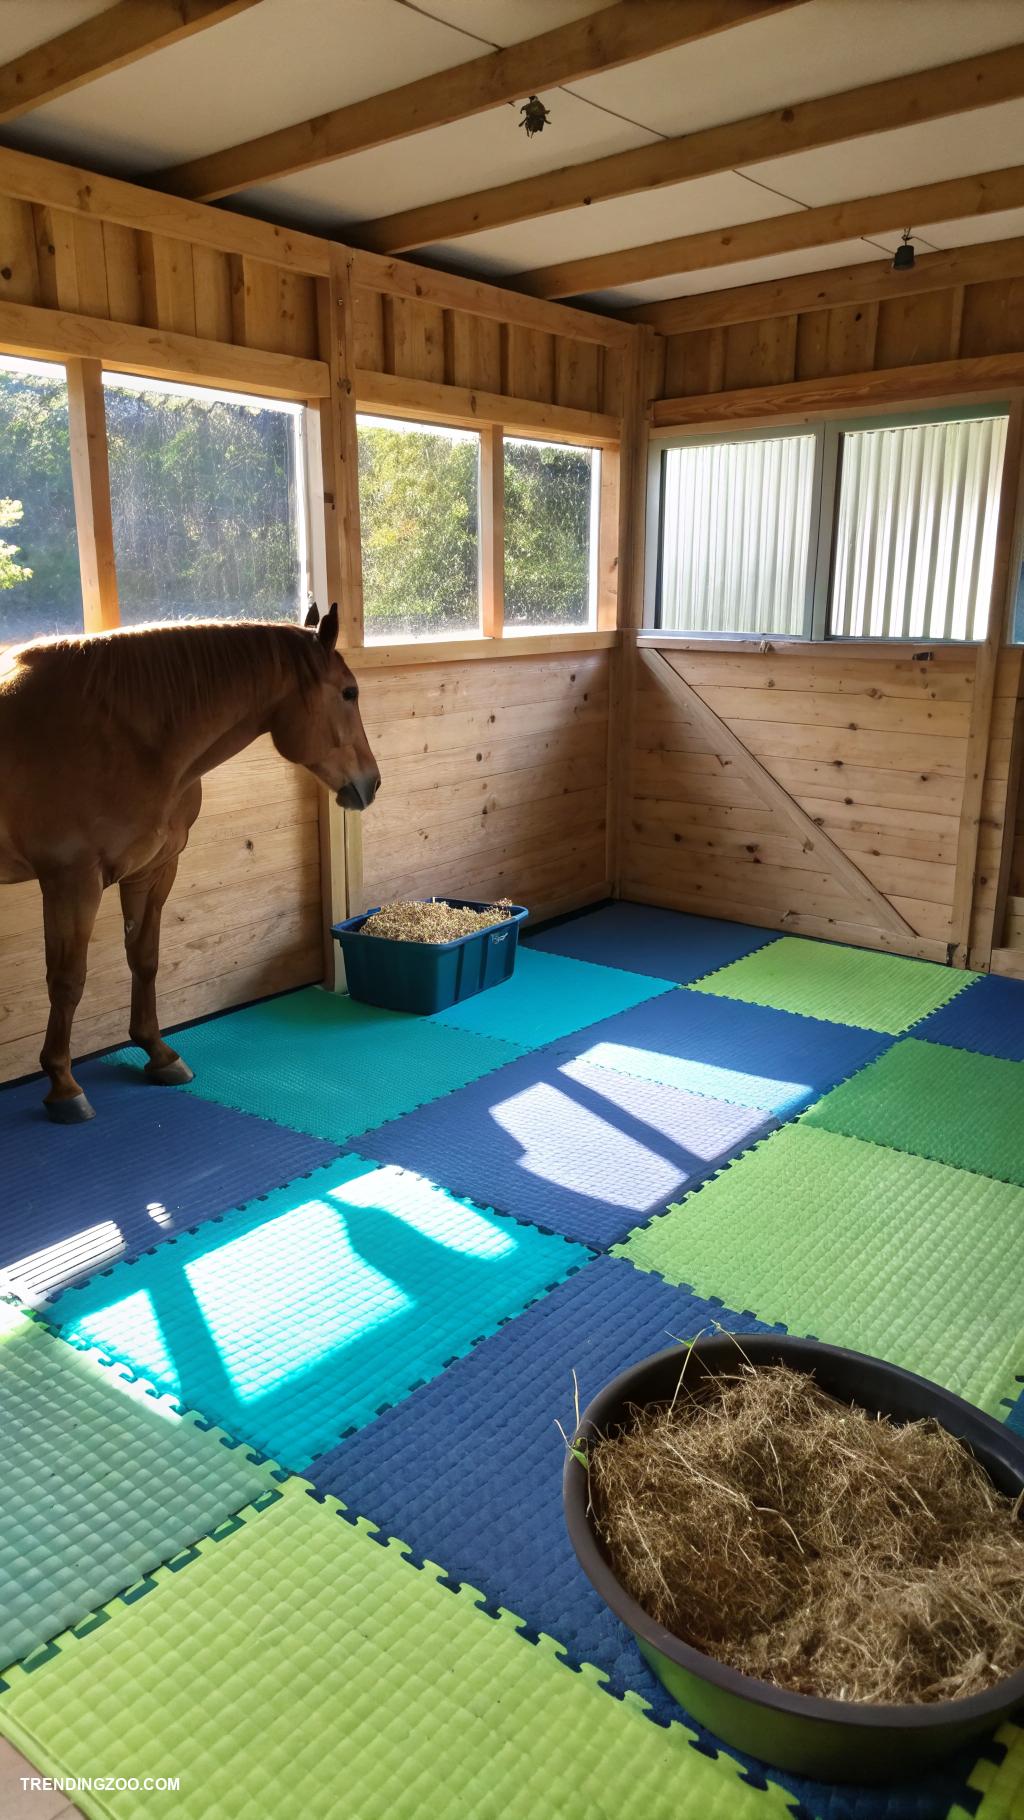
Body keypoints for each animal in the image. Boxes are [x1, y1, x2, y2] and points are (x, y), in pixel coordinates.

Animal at [0, 602, 380, 1124]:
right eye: (349, 692)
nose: (372, 782)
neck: (124, 739)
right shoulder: (70, 881)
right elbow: (67, 980)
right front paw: (63, 1085)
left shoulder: (151, 870)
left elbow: (145, 959)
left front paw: (158, 1054)